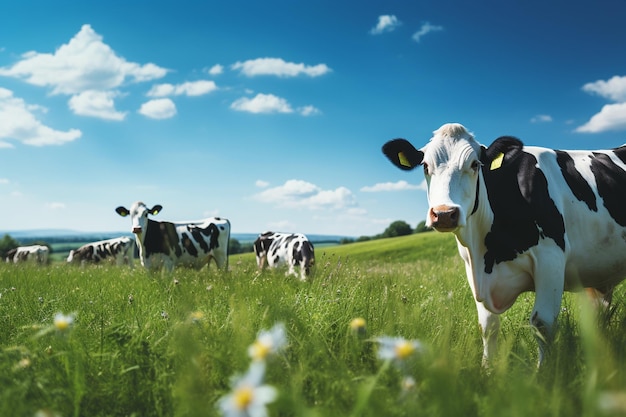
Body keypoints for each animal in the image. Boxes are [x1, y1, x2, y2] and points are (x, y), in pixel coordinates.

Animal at [382, 121, 624, 364]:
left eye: (475, 164)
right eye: (425, 166)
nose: (443, 214)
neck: (485, 252)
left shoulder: (551, 258)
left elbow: (542, 324)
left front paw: (544, 372)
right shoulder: (471, 267)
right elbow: (488, 327)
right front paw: (487, 369)